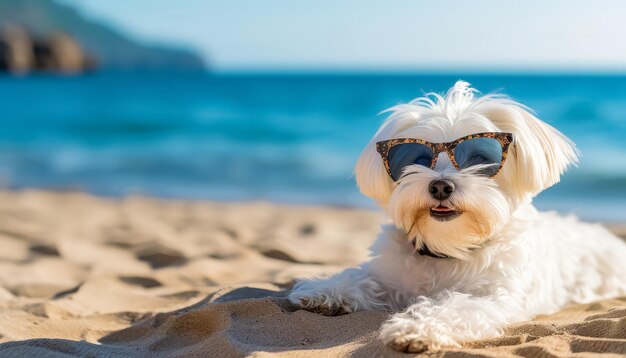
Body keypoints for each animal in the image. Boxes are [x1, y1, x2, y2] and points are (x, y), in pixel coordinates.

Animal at [286, 80, 624, 352]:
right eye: (418, 159)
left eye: (480, 158)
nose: (440, 185)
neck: (449, 246)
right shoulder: (391, 271)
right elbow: (365, 277)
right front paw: (327, 289)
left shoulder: (492, 295)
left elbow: (454, 306)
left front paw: (417, 328)